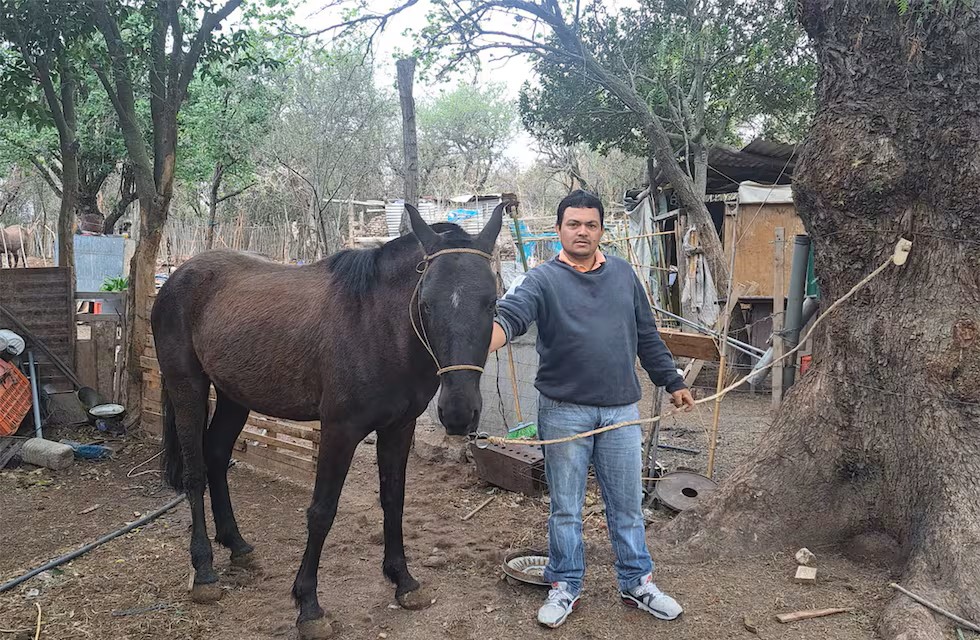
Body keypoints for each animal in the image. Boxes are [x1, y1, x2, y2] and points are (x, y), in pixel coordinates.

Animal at [154, 205, 506, 640]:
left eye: (491, 302)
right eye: (426, 304)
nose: (458, 412)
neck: (377, 326)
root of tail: (177, 276)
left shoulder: (399, 428)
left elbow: (394, 500)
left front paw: (403, 580)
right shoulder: (340, 431)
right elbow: (321, 511)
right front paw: (308, 605)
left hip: (234, 395)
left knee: (217, 455)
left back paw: (236, 545)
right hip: (187, 386)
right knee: (196, 472)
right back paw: (204, 570)